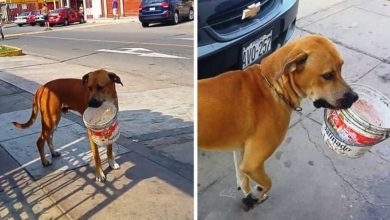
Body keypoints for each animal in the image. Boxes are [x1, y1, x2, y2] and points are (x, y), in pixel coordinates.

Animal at [200, 34, 358, 211]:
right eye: (328, 75)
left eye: (341, 68)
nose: (355, 97)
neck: (272, 87)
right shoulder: (252, 163)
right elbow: (267, 183)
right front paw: (255, 195)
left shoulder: (241, 152)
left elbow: (243, 179)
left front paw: (249, 194)